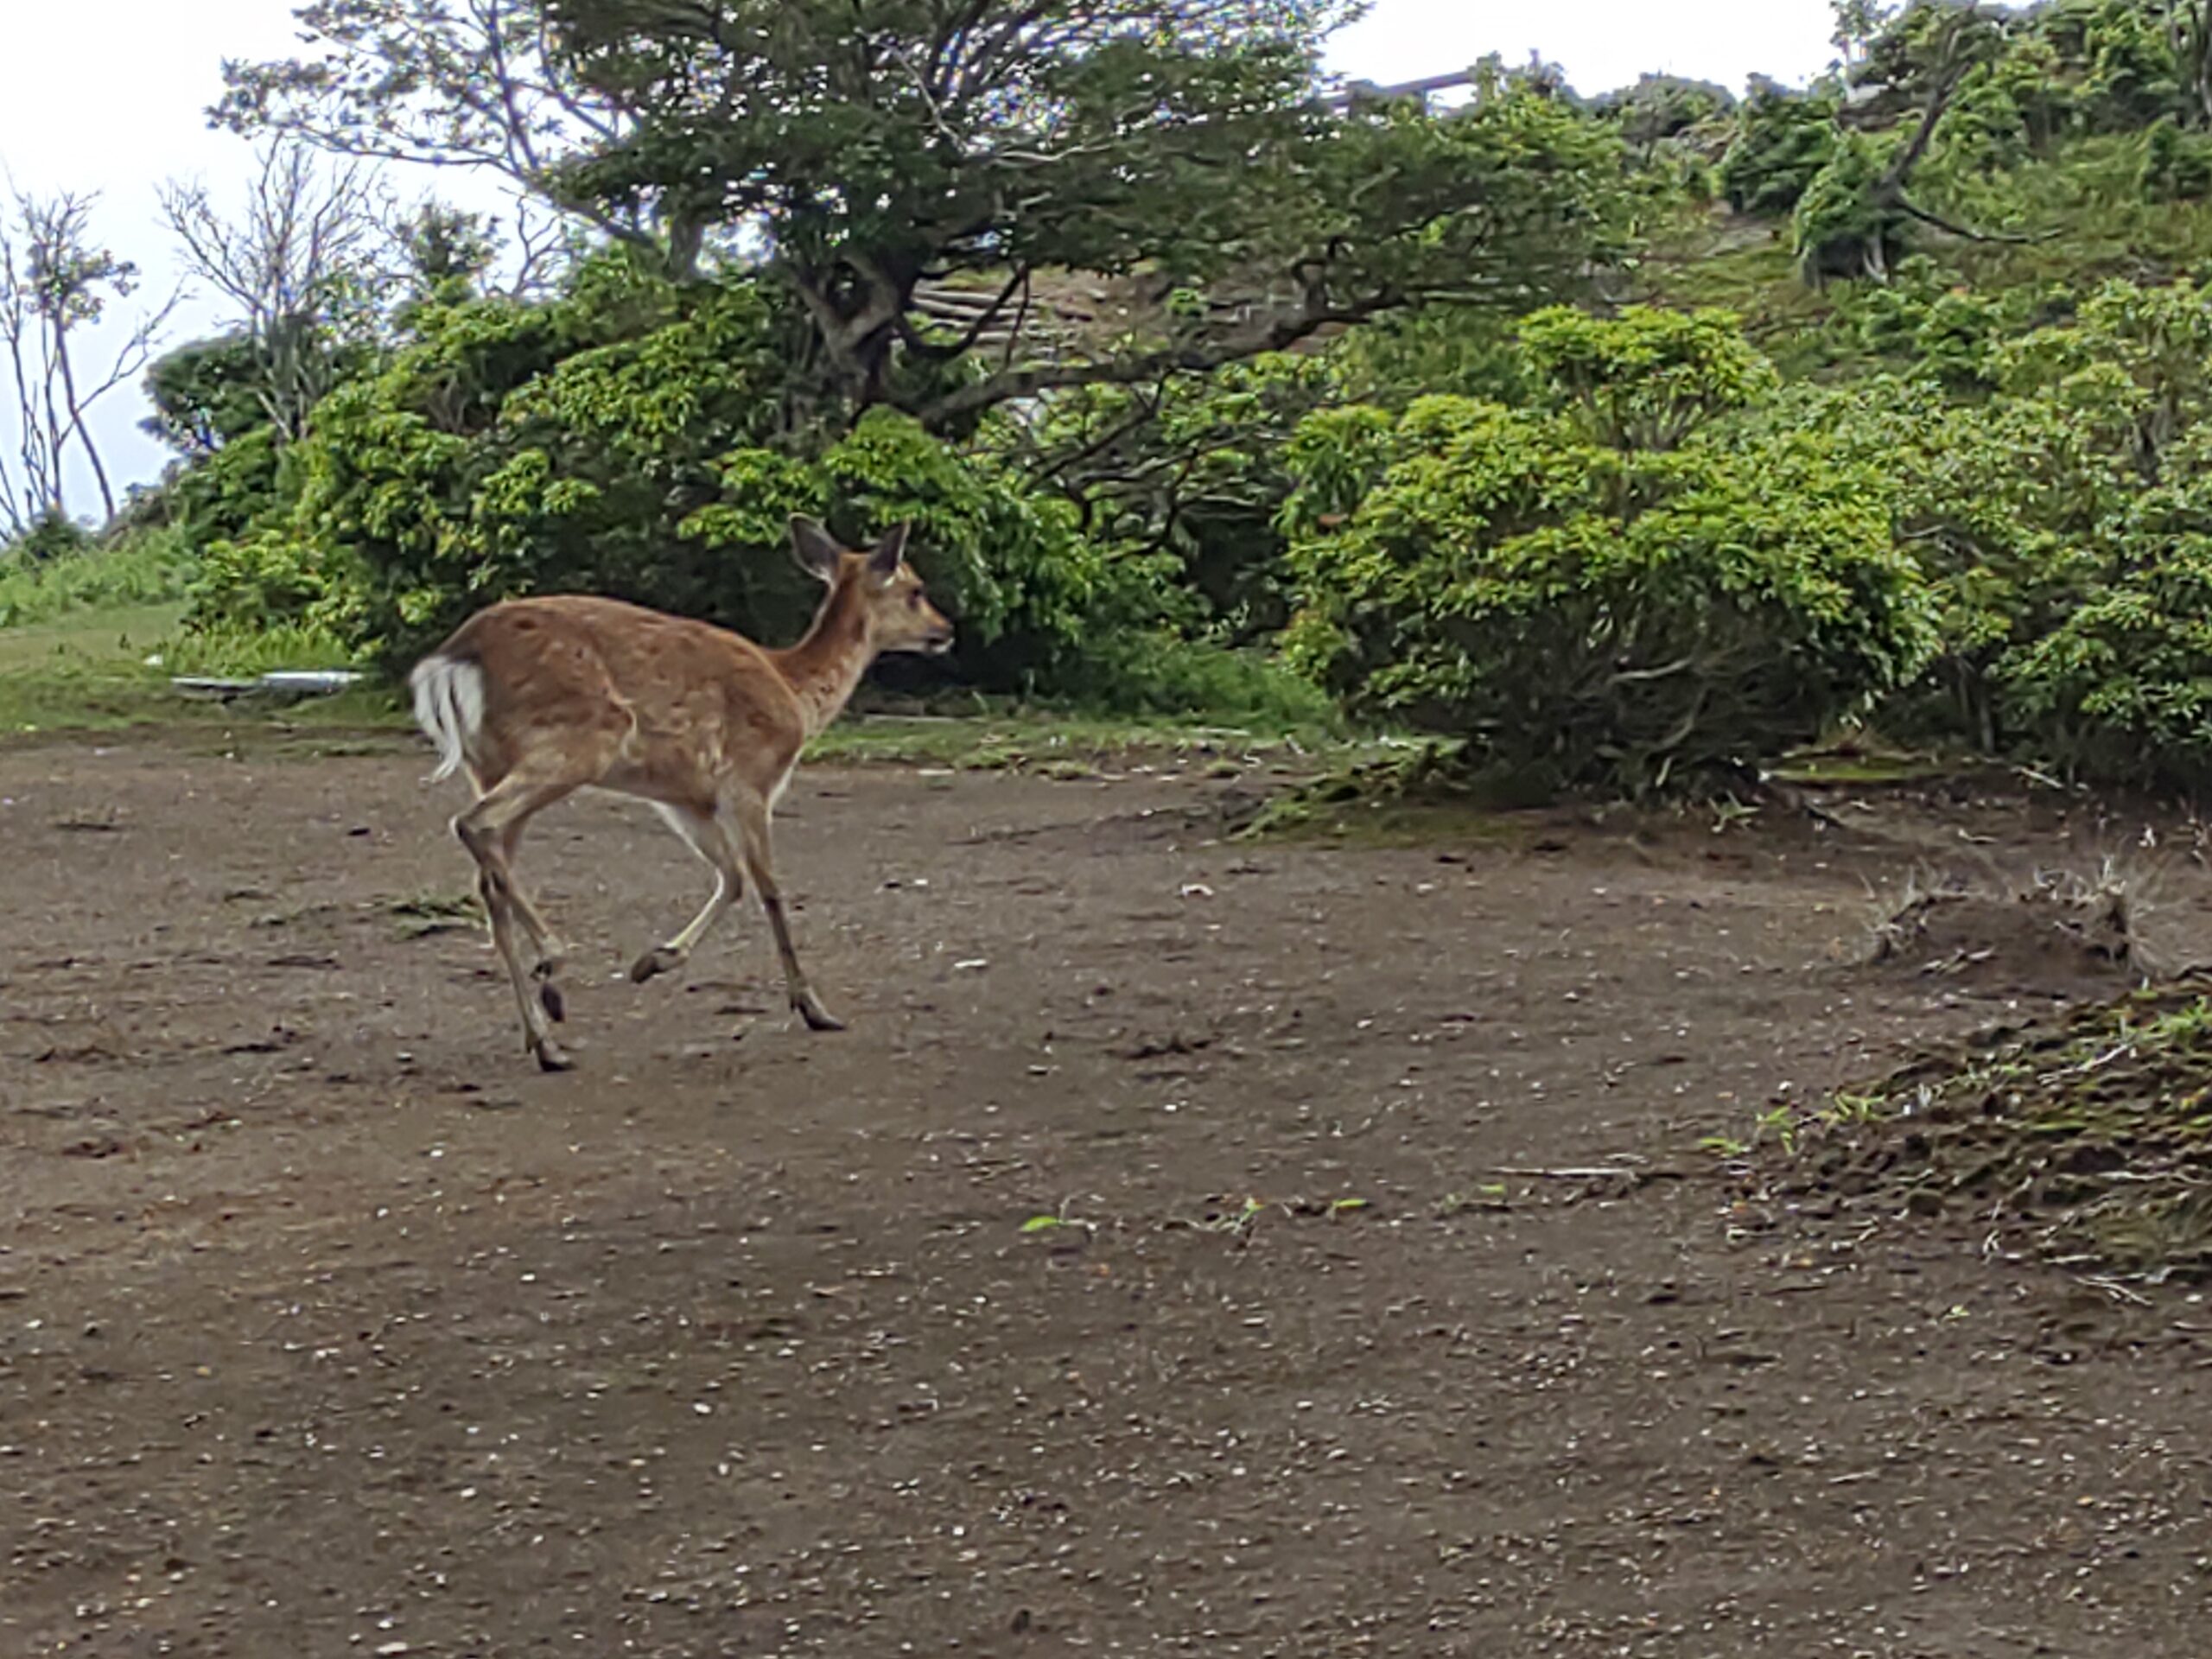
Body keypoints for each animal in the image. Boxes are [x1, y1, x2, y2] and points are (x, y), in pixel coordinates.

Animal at [404, 512, 950, 1071]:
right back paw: (553, 964)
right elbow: (769, 887)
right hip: (578, 740)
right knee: (473, 823)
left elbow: (732, 878)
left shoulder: (685, 799)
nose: (946, 631)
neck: (796, 692)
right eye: (915, 589)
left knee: (489, 880)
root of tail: (448, 663)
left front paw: (654, 961)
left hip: (490, 763)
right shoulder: (750, 778)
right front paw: (814, 1007)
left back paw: (547, 1039)